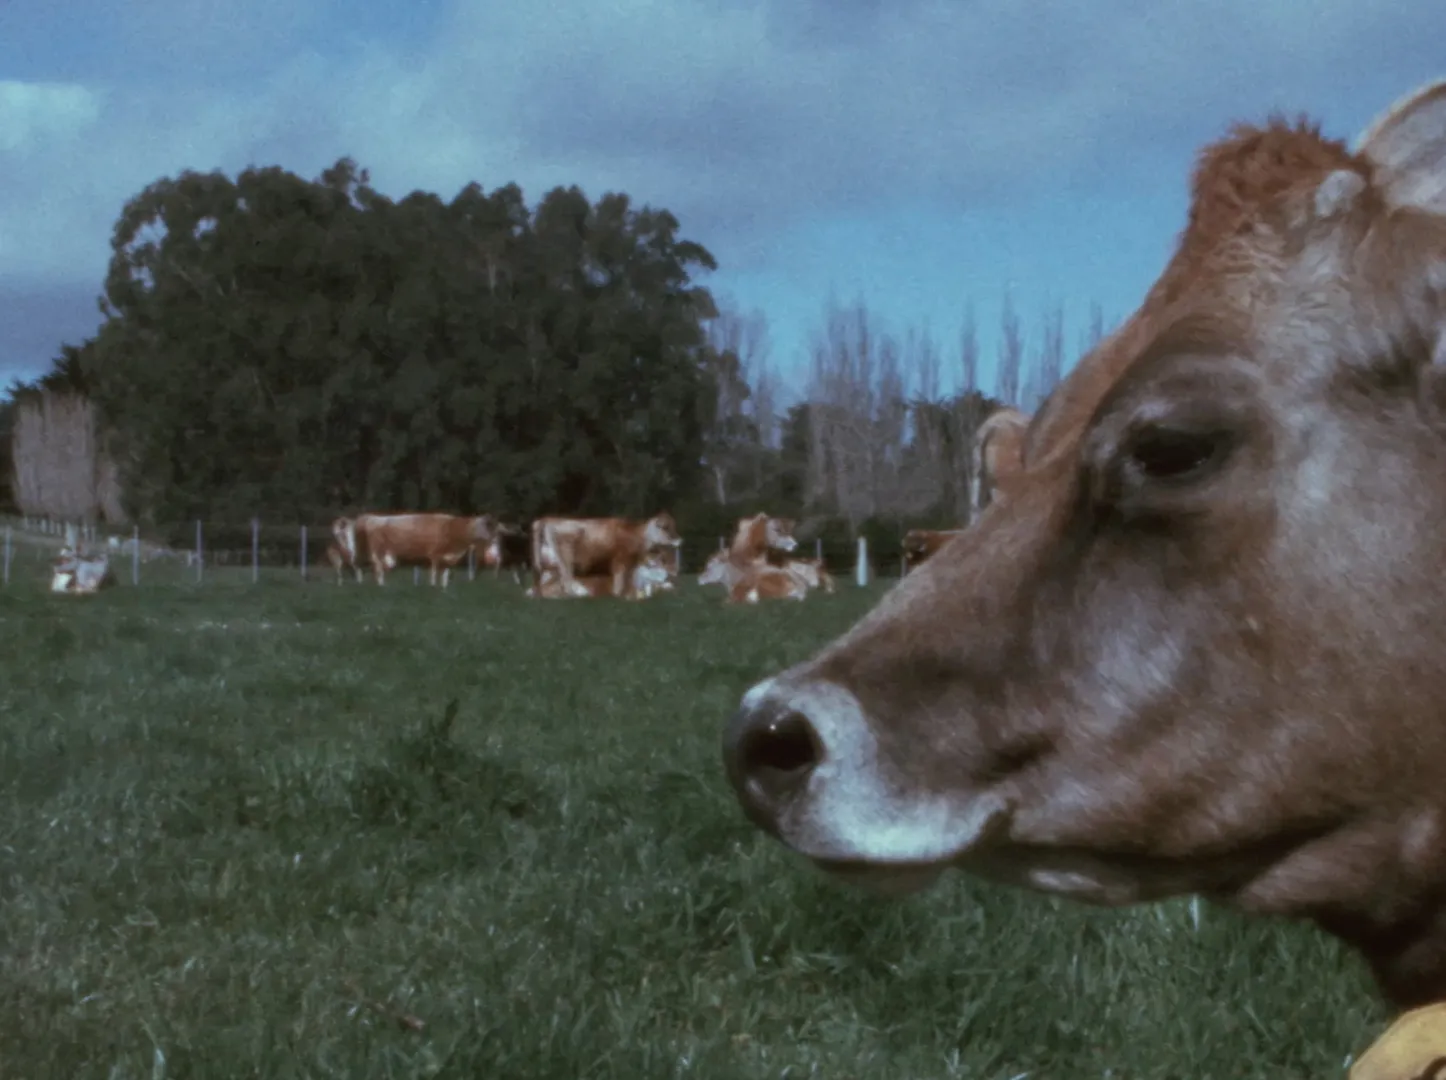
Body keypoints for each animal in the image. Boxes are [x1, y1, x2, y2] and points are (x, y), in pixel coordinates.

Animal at [353, 512, 497, 587]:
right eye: (479, 526)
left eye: (487, 527)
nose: (490, 538)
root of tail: (373, 517)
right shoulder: (435, 554)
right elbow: (434, 572)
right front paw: (433, 586)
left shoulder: (447, 557)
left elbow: (445, 573)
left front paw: (444, 588)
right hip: (377, 550)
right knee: (377, 566)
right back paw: (381, 584)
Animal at [531, 512, 681, 600]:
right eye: (666, 527)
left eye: (674, 525)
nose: (680, 540)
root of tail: (547, 519)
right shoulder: (621, 560)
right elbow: (620, 582)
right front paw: (619, 596)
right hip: (564, 559)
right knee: (566, 581)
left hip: (548, 566)